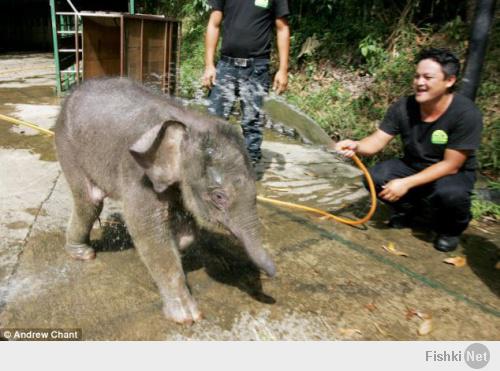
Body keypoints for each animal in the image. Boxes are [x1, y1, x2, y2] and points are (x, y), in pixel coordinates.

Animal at [55, 77, 278, 324]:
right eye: (219, 197)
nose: (274, 275)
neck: (188, 122)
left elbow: (186, 227)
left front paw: (178, 242)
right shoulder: (137, 171)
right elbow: (146, 228)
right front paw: (187, 316)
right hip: (67, 144)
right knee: (90, 201)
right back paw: (83, 254)